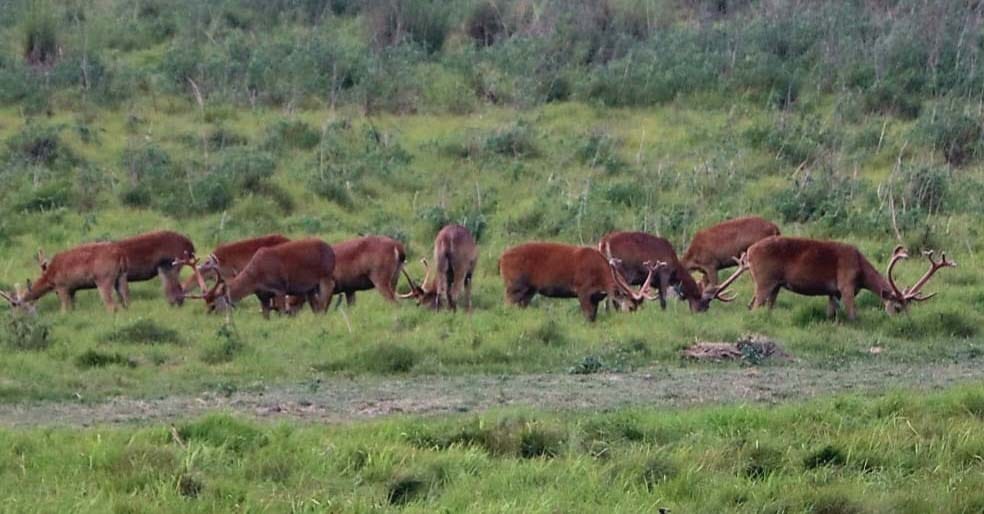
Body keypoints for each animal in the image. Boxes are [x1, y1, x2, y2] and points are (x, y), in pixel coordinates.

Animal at [186, 238, 336, 318]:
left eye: (213, 305)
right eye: (205, 303)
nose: (207, 316)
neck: (256, 277)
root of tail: (331, 251)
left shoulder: (279, 288)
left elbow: (282, 313)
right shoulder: (262, 295)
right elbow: (265, 316)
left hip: (326, 275)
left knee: (325, 298)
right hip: (310, 287)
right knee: (316, 306)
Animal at [497, 242, 670, 322]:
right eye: (630, 307)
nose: (633, 320)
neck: (601, 278)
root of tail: (501, 259)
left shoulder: (596, 296)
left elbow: (594, 317)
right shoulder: (582, 289)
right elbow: (588, 316)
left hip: (529, 290)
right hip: (513, 284)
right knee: (506, 304)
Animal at [599, 231, 746, 312]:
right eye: (704, 303)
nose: (699, 313)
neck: (675, 271)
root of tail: (603, 242)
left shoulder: (644, 279)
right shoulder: (664, 272)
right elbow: (663, 299)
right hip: (623, 271)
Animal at [746, 236, 956, 320]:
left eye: (909, 307)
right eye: (897, 307)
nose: (908, 322)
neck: (861, 272)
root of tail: (749, 252)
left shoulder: (832, 292)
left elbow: (831, 313)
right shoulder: (846, 284)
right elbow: (852, 314)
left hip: (776, 284)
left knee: (767, 306)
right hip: (764, 280)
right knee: (755, 306)